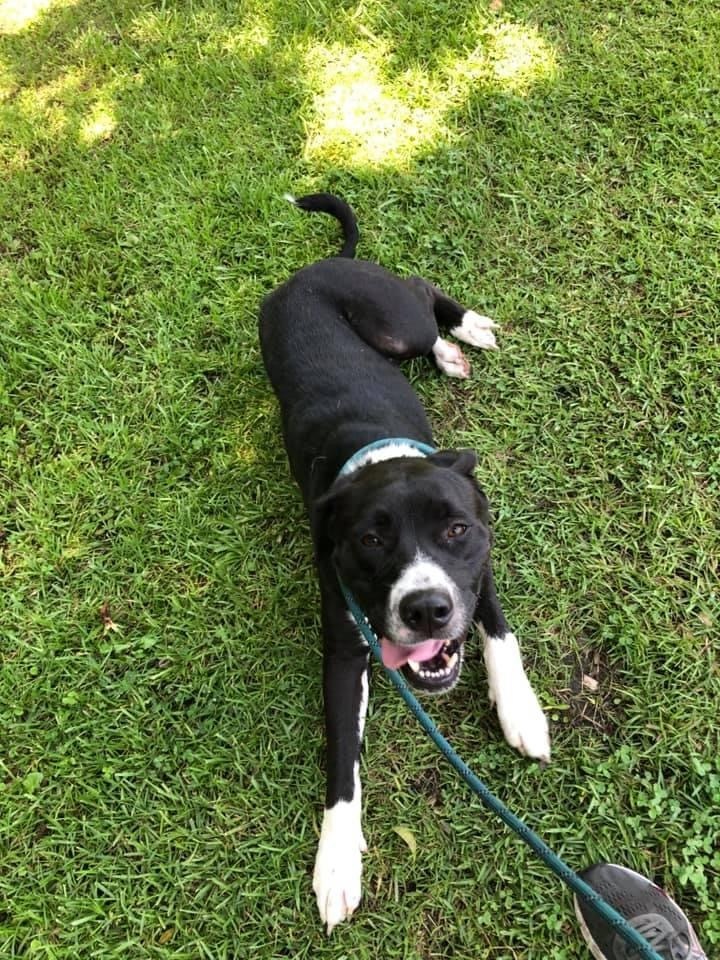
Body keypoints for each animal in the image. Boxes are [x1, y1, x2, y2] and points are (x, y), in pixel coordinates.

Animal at [260, 193, 552, 928]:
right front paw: (337, 860)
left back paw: (465, 332)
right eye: (369, 541)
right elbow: (342, 761)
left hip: (395, 323)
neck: (378, 460)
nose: (425, 610)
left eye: (455, 529)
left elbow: (500, 637)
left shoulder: (479, 572)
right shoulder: (343, 648)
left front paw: (522, 712)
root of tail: (316, 267)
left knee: (421, 295)